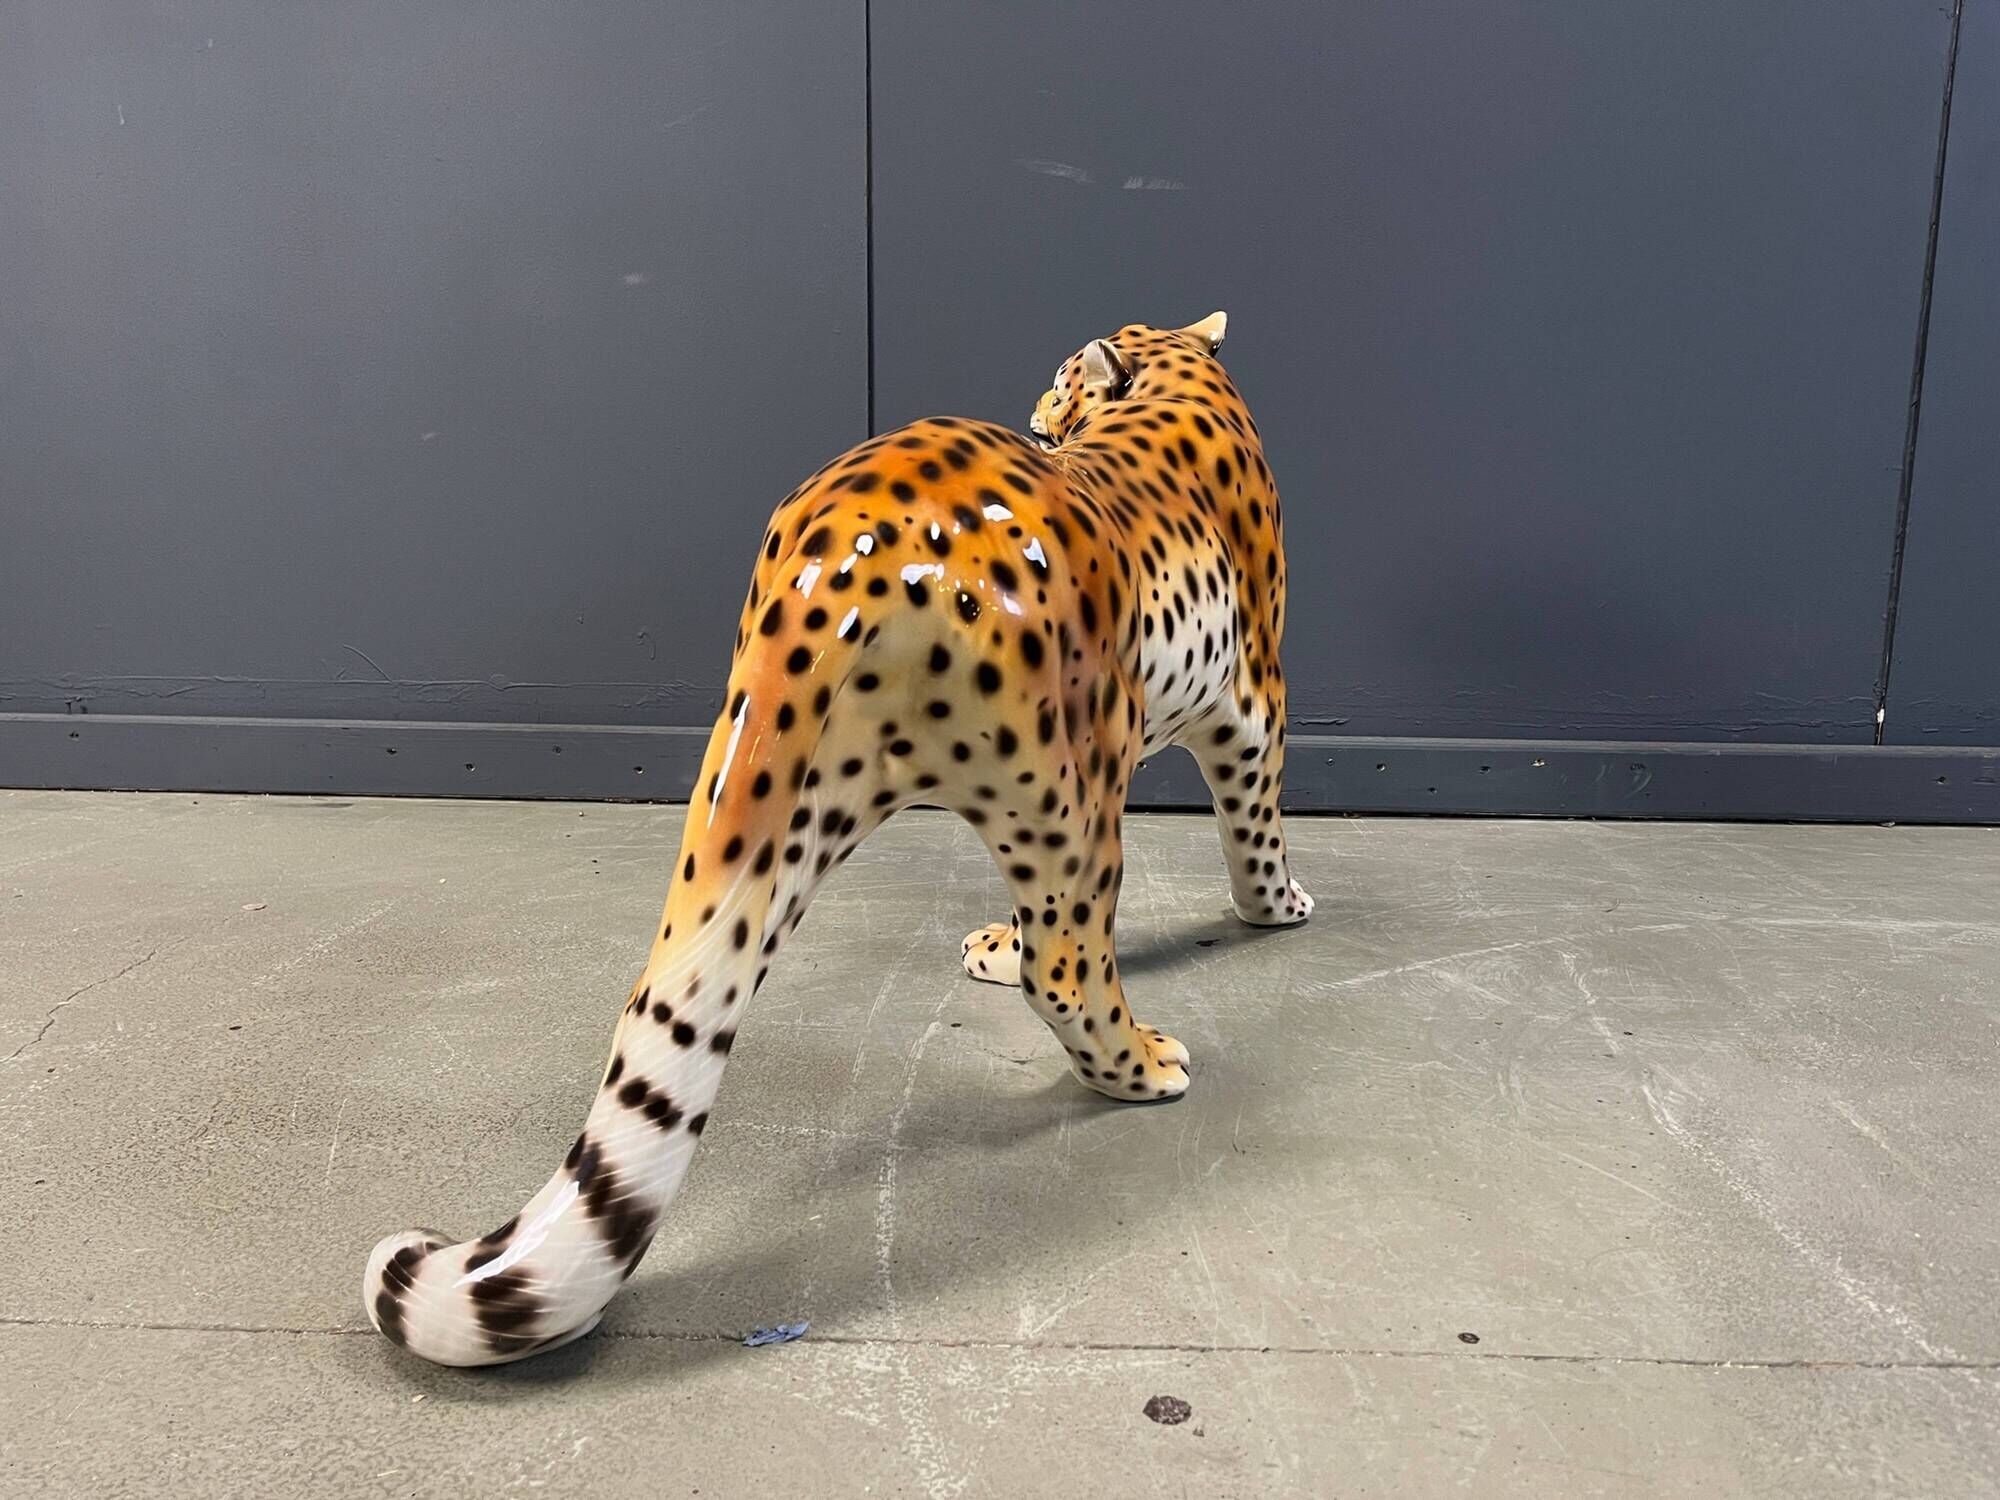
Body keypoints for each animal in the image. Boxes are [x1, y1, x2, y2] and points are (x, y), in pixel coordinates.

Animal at [364, 311, 1313, 1365]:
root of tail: (852, 540)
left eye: (1061, 383)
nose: (1038, 412)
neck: (1176, 374)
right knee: (1067, 964)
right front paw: (1280, 908)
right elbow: (1256, 820)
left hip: (802, 790)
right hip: (1072, 786)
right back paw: (1142, 1067)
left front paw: (995, 942)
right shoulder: (1255, 696)